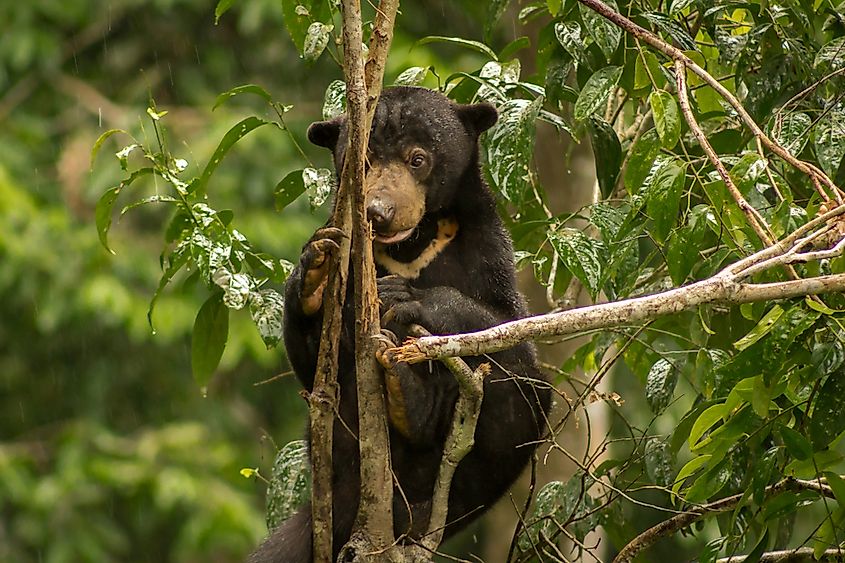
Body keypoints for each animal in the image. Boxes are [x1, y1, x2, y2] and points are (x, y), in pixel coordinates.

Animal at [249, 87, 552, 563]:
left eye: (418, 159)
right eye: (364, 160)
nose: (379, 211)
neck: (410, 246)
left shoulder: (487, 249)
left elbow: (510, 328)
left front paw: (404, 297)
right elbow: (315, 366)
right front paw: (316, 270)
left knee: (524, 390)